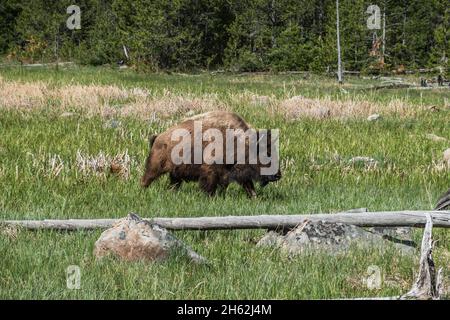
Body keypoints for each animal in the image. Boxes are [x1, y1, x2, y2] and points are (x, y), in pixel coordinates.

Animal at [141, 112, 282, 198]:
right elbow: (209, 186)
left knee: (173, 184)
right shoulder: (211, 171)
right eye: (267, 153)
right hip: (155, 167)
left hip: (175, 174)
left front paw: (254, 197)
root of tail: (157, 137)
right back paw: (143, 191)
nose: (278, 175)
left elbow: (247, 186)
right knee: (147, 179)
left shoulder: (237, 173)